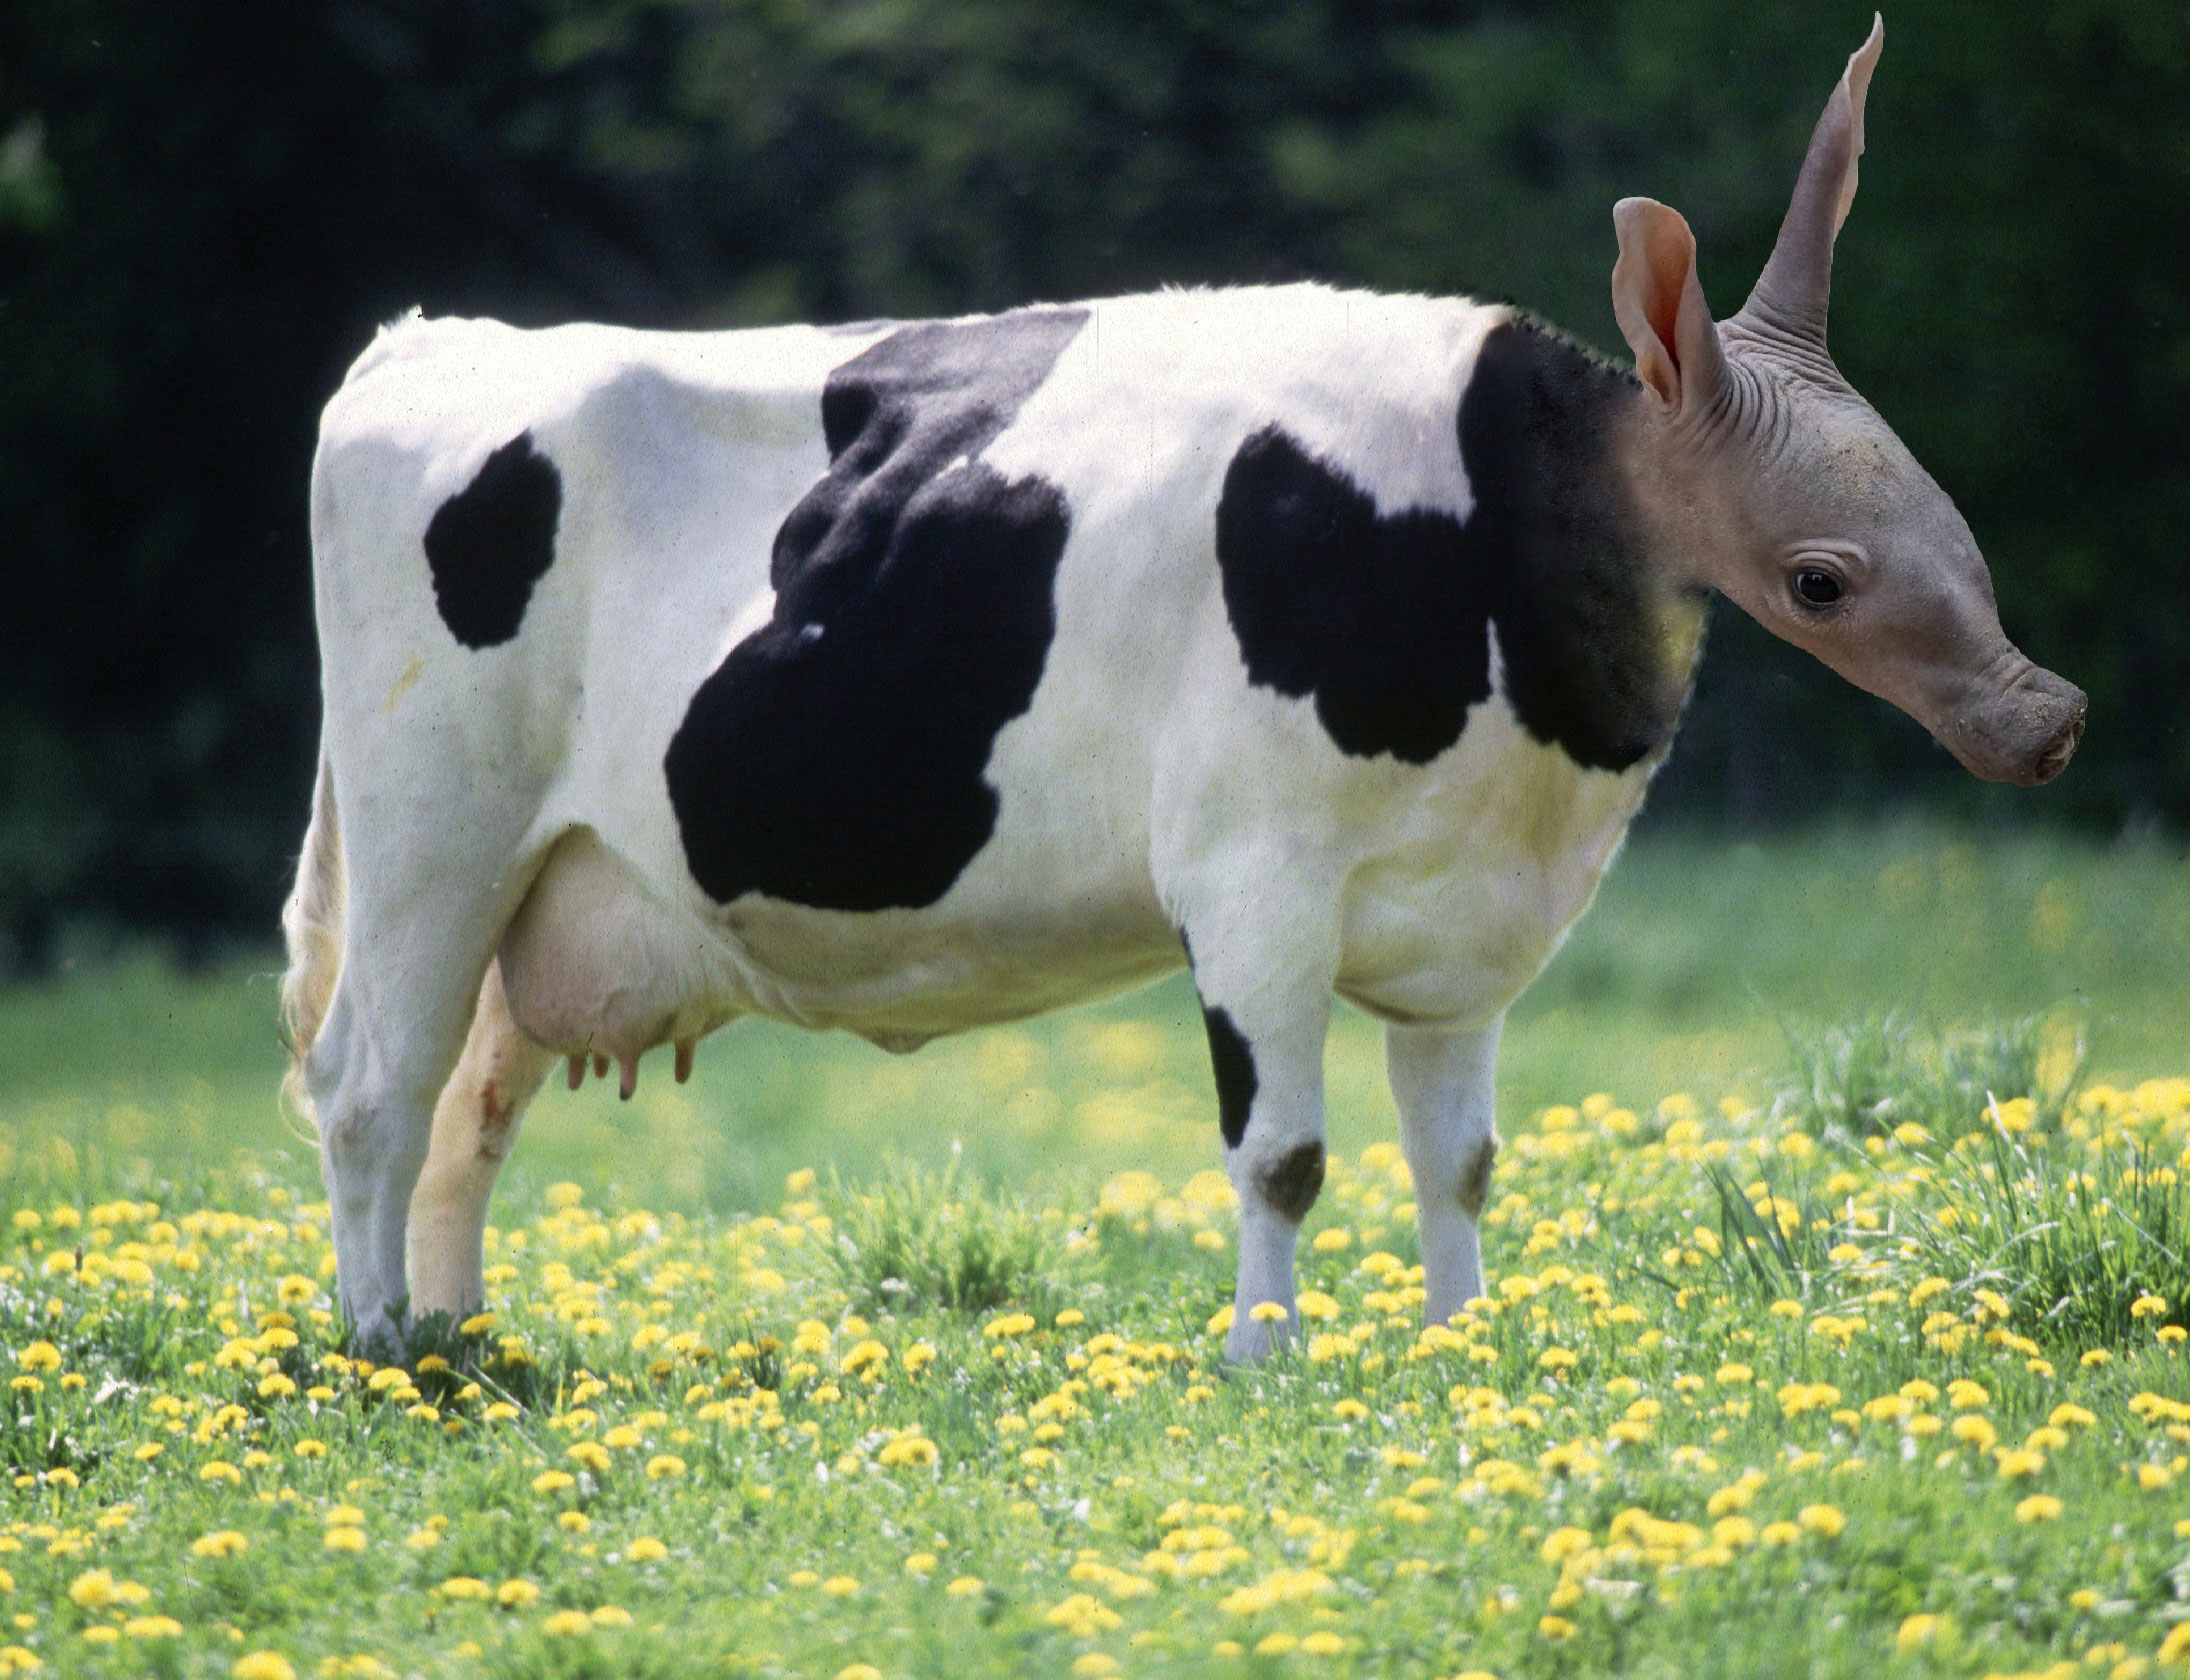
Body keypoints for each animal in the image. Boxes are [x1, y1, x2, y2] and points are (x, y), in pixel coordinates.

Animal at [282, 17, 2083, 1361]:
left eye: (1950, 519)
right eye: (1822, 577)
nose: (2042, 717)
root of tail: (434, 338)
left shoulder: (1467, 930)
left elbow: (1460, 1160)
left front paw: (1459, 1344)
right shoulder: (1250, 879)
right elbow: (1281, 1155)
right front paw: (1265, 1359)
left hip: (553, 888)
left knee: (470, 1105)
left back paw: (458, 1337)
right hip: (431, 832)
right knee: (373, 1086)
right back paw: (379, 1355)